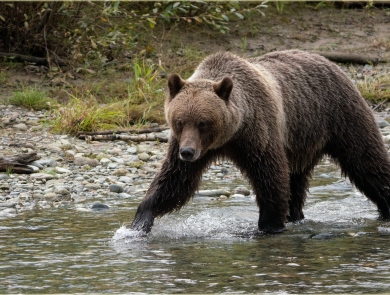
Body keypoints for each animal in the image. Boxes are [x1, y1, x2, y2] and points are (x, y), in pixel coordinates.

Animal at [129, 51, 390, 235]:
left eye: (203, 122)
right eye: (180, 121)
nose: (188, 152)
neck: (229, 135)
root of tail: (330, 62)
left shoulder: (256, 132)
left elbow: (270, 174)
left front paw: (269, 225)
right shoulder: (187, 145)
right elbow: (174, 181)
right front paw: (139, 222)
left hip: (340, 115)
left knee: (366, 160)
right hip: (301, 139)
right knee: (296, 180)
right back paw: (296, 215)